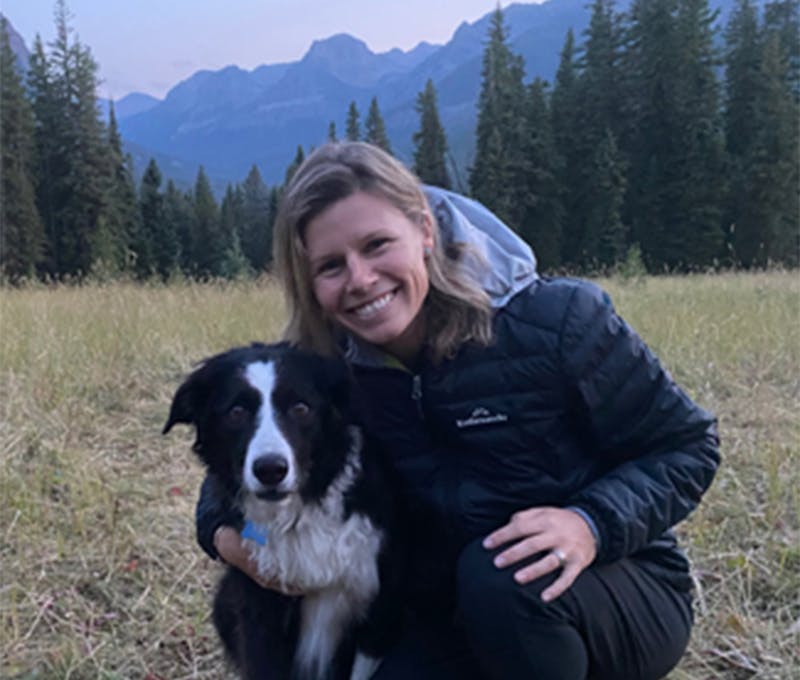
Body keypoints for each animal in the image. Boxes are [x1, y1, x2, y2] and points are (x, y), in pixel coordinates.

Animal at [162, 342, 400, 680]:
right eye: (236, 412)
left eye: (301, 408)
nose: (270, 470)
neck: (298, 515)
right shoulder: (259, 611)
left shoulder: (377, 611)